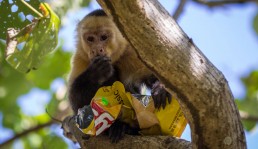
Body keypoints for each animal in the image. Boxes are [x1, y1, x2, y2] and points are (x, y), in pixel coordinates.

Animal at [68, 9, 171, 142]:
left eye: (104, 37)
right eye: (90, 39)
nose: (97, 49)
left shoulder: (132, 53)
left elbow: (154, 76)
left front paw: (161, 89)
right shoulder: (81, 59)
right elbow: (77, 106)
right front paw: (95, 73)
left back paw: (127, 128)